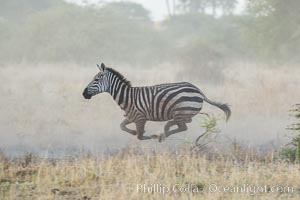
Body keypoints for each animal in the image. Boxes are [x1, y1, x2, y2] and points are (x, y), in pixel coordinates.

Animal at [81, 63, 231, 142]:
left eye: (96, 79)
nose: (84, 94)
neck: (127, 97)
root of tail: (198, 90)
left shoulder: (140, 118)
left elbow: (140, 136)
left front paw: (153, 135)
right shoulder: (131, 117)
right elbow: (122, 126)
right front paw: (133, 132)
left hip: (181, 110)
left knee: (183, 126)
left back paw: (163, 133)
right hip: (184, 111)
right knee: (185, 123)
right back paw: (166, 129)